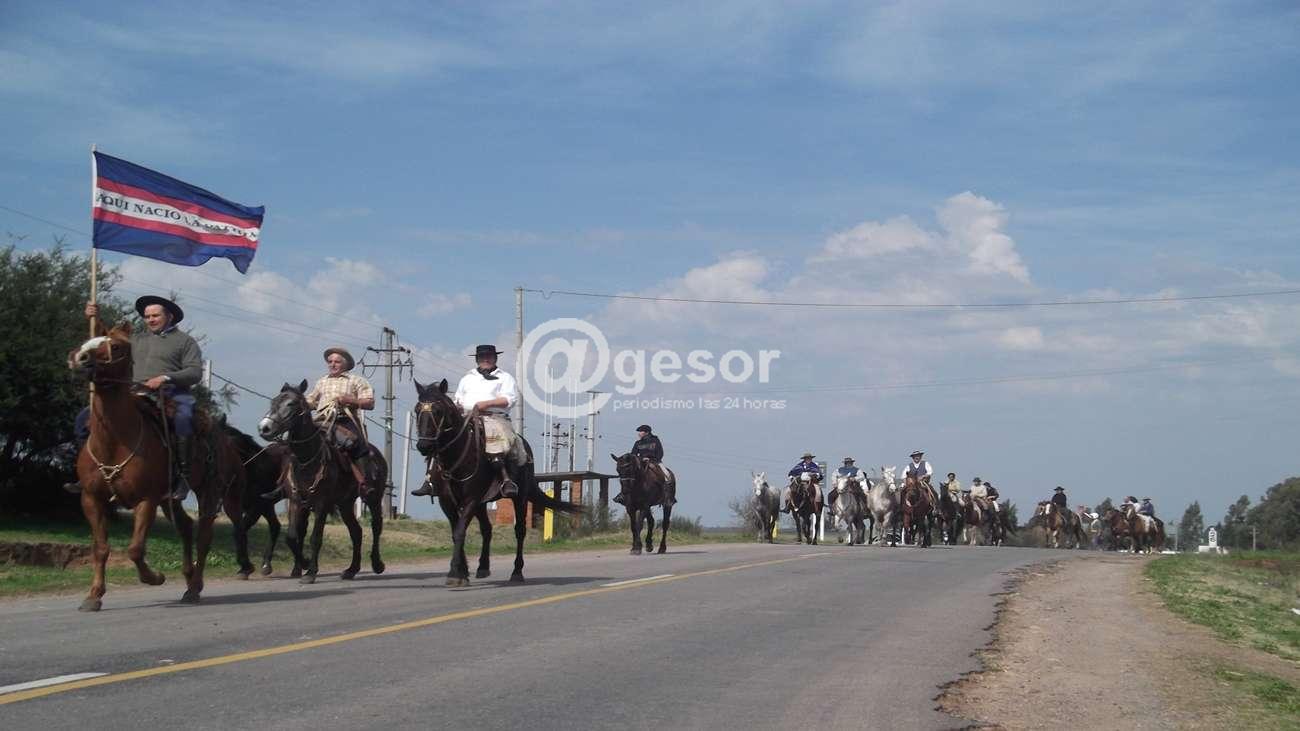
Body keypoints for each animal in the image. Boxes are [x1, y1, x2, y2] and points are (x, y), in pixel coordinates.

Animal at [67, 324, 245, 611]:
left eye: (115, 346)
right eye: (89, 340)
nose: (78, 358)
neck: (116, 442)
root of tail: (223, 436)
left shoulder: (146, 500)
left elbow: (135, 549)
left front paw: (155, 578)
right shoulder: (92, 499)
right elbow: (100, 548)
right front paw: (93, 596)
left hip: (209, 490)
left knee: (203, 537)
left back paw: (194, 588)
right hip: (169, 498)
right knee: (185, 526)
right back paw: (188, 580)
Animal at [257, 380, 387, 584]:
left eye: (291, 404)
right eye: (273, 401)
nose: (264, 428)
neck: (307, 460)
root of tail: (378, 455)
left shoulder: (322, 504)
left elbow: (315, 537)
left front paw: (310, 572)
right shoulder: (296, 501)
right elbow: (292, 536)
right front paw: (303, 564)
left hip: (373, 498)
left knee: (376, 526)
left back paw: (377, 564)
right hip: (345, 504)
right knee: (356, 532)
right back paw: (351, 570)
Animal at [413, 379, 582, 585]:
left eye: (437, 411)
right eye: (417, 409)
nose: (424, 445)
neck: (457, 458)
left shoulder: (470, 500)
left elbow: (460, 532)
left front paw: (454, 573)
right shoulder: (446, 502)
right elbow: (455, 534)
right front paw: (462, 572)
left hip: (519, 497)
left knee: (519, 530)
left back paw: (517, 572)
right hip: (481, 503)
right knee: (487, 529)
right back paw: (483, 567)